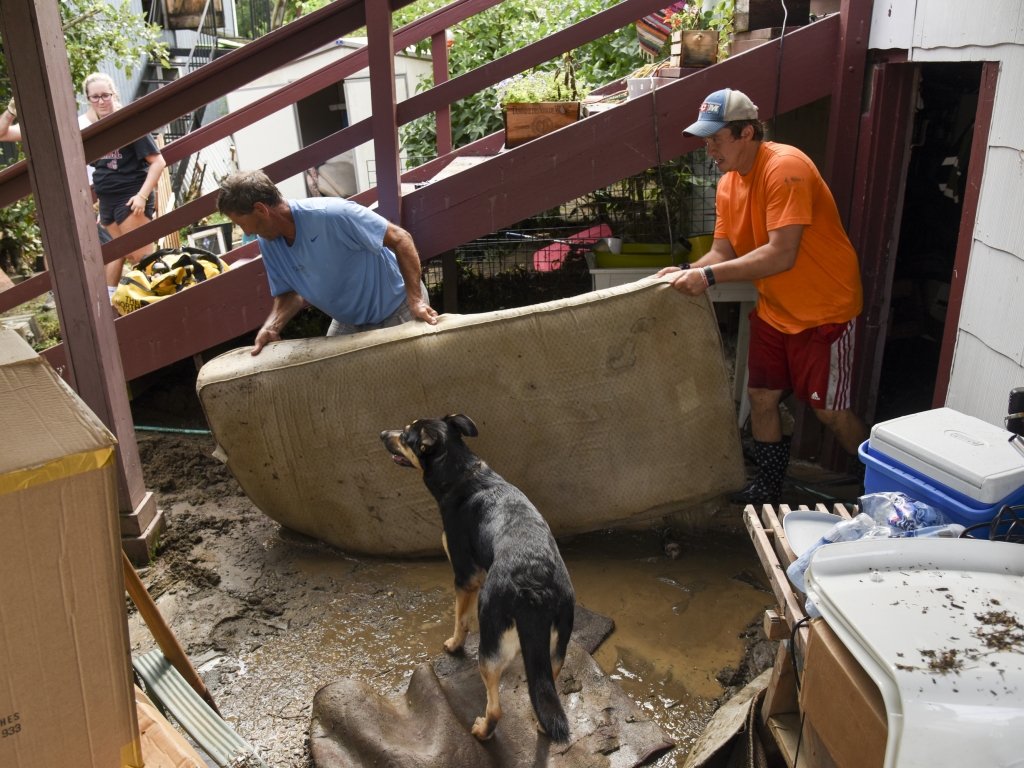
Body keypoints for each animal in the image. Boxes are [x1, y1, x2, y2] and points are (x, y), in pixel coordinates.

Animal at [385, 415, 577, 745]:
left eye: (406, 435)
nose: (383, 434)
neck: (462, 472)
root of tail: (534, 590)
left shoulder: (465, 576)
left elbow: (460, 618)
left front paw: (453, 644)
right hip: (554, 652)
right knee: (546, 696)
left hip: (490, 651)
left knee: (496, 708)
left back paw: (482, 731)